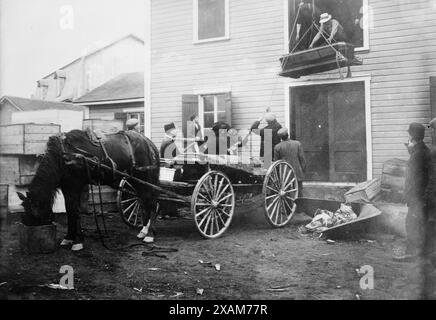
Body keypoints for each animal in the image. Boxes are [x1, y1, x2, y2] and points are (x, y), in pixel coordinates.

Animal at [17, 129, 160, 251]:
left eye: (33, 213)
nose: (28, 232)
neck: (63, 156)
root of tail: (147, 142)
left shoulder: (74, 186)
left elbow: (74, 211)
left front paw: (77, 241)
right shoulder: (67, 187)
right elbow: (69, 211)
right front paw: (68, 238)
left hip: (144, 178)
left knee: (152, 203)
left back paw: (150, 234)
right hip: (135, 180)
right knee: (144, 202)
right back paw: (143, 231)